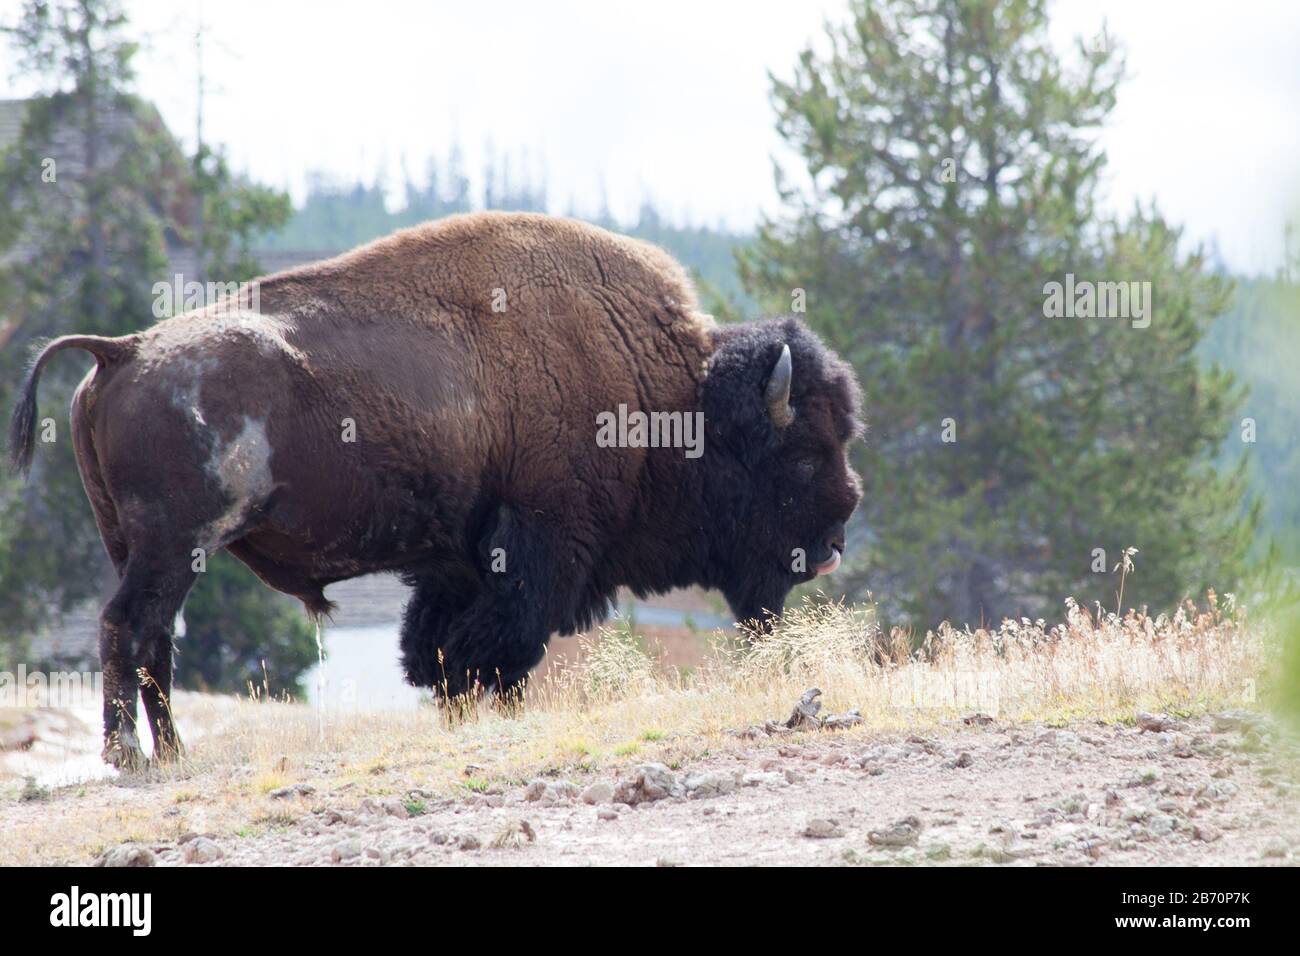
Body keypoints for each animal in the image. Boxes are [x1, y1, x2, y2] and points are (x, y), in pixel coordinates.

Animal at [12, 213, 863, 764]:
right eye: (800, 455)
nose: (834, 541)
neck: (669, 395)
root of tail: (122, 351)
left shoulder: (457, 562)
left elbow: (443, 647)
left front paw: (462, 711)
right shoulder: (539, 545)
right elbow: (504, 644)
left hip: (139, 546)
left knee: (152, 639)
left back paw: (172, 752)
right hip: (173, 546)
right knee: (130, 629)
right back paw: (133, 756)